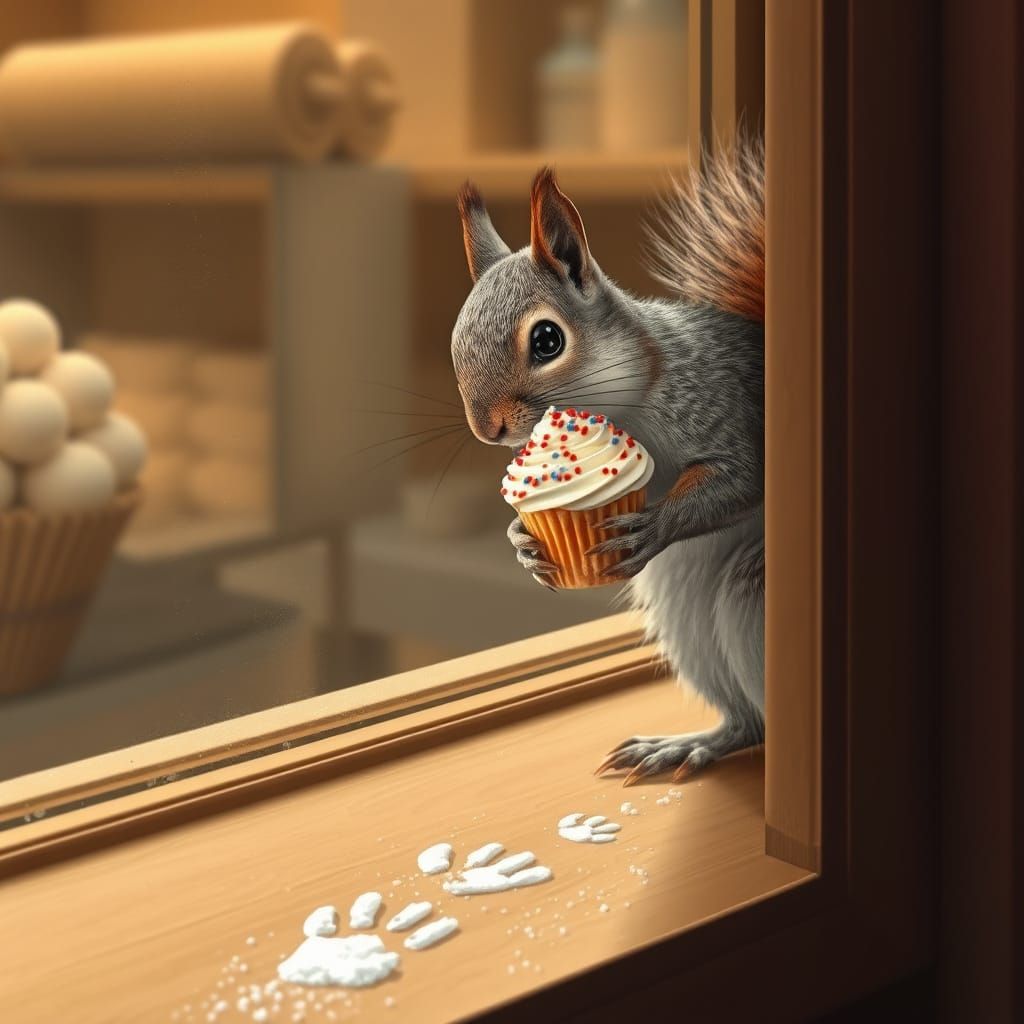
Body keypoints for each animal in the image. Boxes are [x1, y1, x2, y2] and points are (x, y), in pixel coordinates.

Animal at [451, 138, 765, 784]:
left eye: (547, 340)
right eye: (455, 338)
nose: (486, 428)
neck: (624, 410)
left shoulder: (730, 405)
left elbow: (743, 478)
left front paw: (658, 524)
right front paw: (523, 544)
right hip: (688, 618)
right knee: (748, 723)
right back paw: (688, 745)